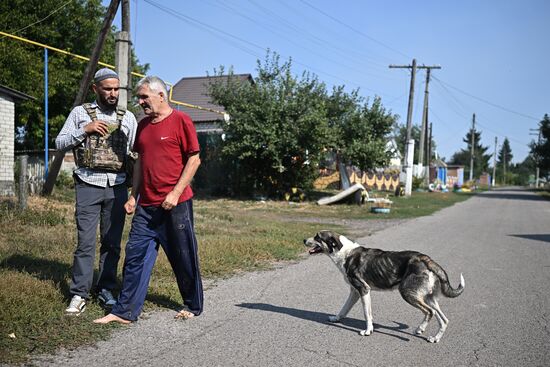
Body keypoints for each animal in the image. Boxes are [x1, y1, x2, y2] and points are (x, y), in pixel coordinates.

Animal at [306, 231, 466, 344]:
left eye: (317, 237)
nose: (303, 240)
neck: (344, 253)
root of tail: (427, 259)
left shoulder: (364, 290)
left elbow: (367, 314)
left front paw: (368, 331)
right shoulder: (354, 292)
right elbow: (344, 309)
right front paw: (336, 319)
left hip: (408, 293)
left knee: (429, 312)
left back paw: (420, 329)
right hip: (428, 298)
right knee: (444, 319)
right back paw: (435, 338)